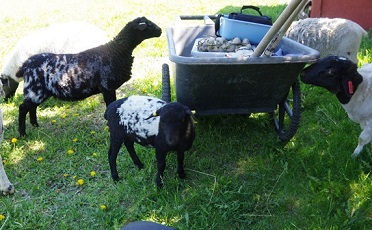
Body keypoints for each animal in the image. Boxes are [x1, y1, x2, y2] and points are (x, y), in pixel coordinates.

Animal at [15, 17, 161, 137]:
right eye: (147, 25)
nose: (160, 31)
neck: (117, 51)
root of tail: (25, 66)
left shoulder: (109, 88)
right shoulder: (107, 87)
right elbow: (109, 106)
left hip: (38, 92)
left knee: (32, 108)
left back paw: (35, 125)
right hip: (35, 90)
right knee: (23, 108)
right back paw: (23, 134)